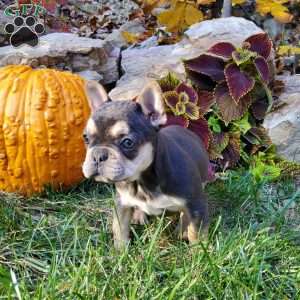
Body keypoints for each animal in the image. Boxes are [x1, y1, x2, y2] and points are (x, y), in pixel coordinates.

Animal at [82, 79, 209, 248]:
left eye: (127, 142)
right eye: (86, 138)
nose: (98, 155)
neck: (143, 182)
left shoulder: (196, 204)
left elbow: (196, 233)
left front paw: (199, 251)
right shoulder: (122, 203)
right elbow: (120, 228)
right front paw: (120, 250)